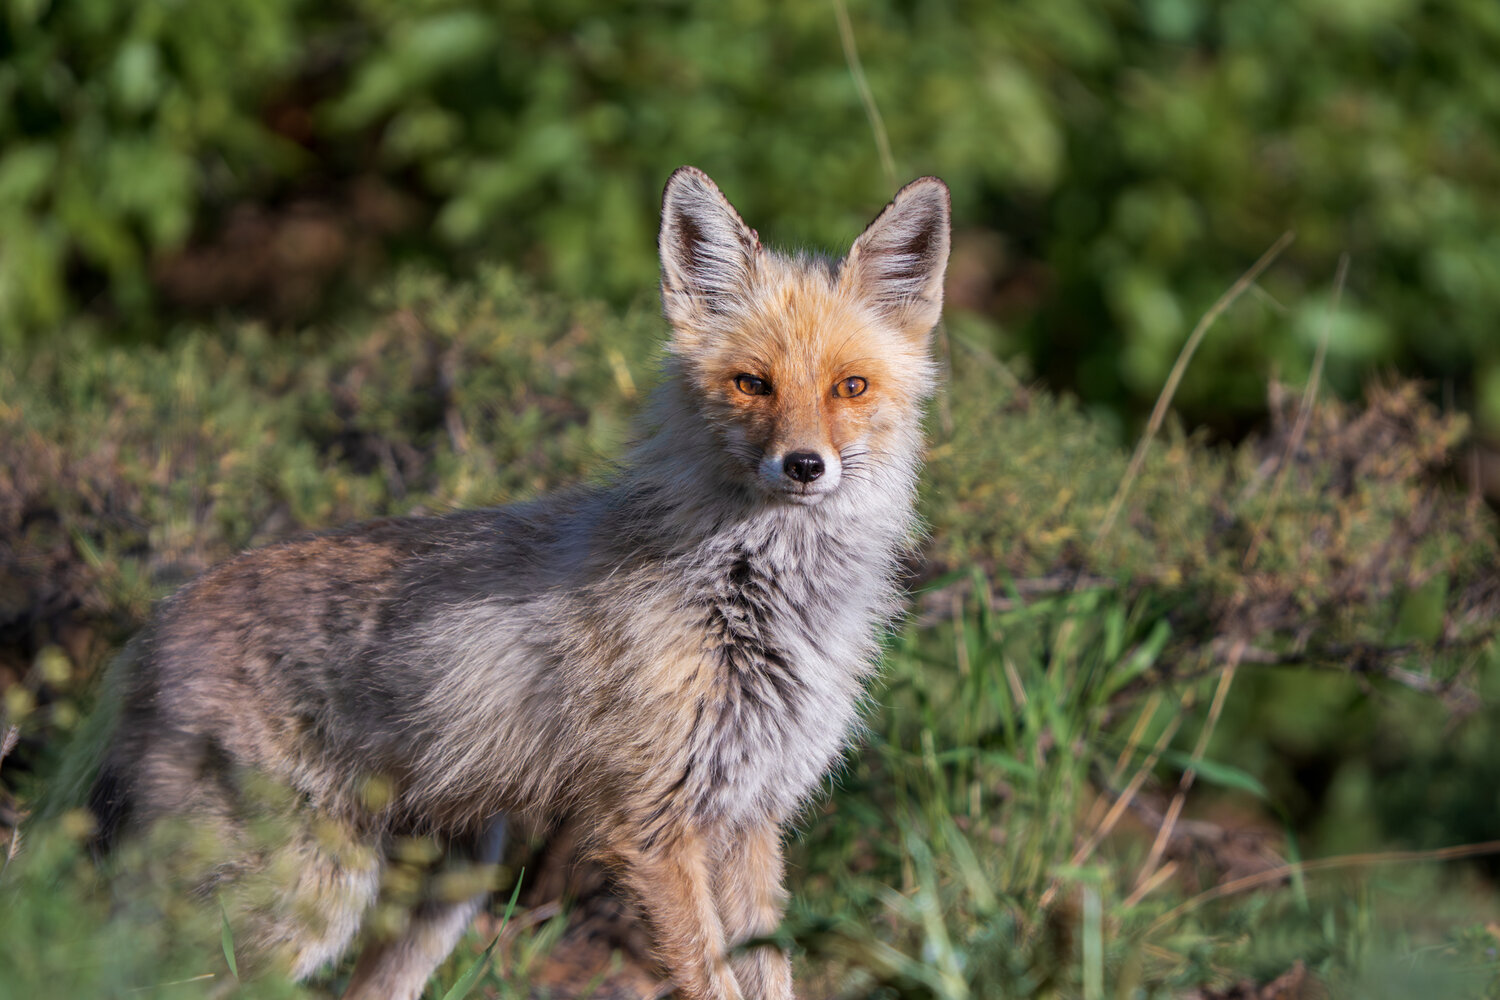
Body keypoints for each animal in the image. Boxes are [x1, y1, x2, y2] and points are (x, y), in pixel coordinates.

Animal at [88, 166, 950, 1000]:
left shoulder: (749, 818)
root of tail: (150, 631)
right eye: (752, 384)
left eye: (850, 386)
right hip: (304, 900)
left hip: (448, 888)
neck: (755, 604)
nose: (804, 466)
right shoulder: (650, 825)